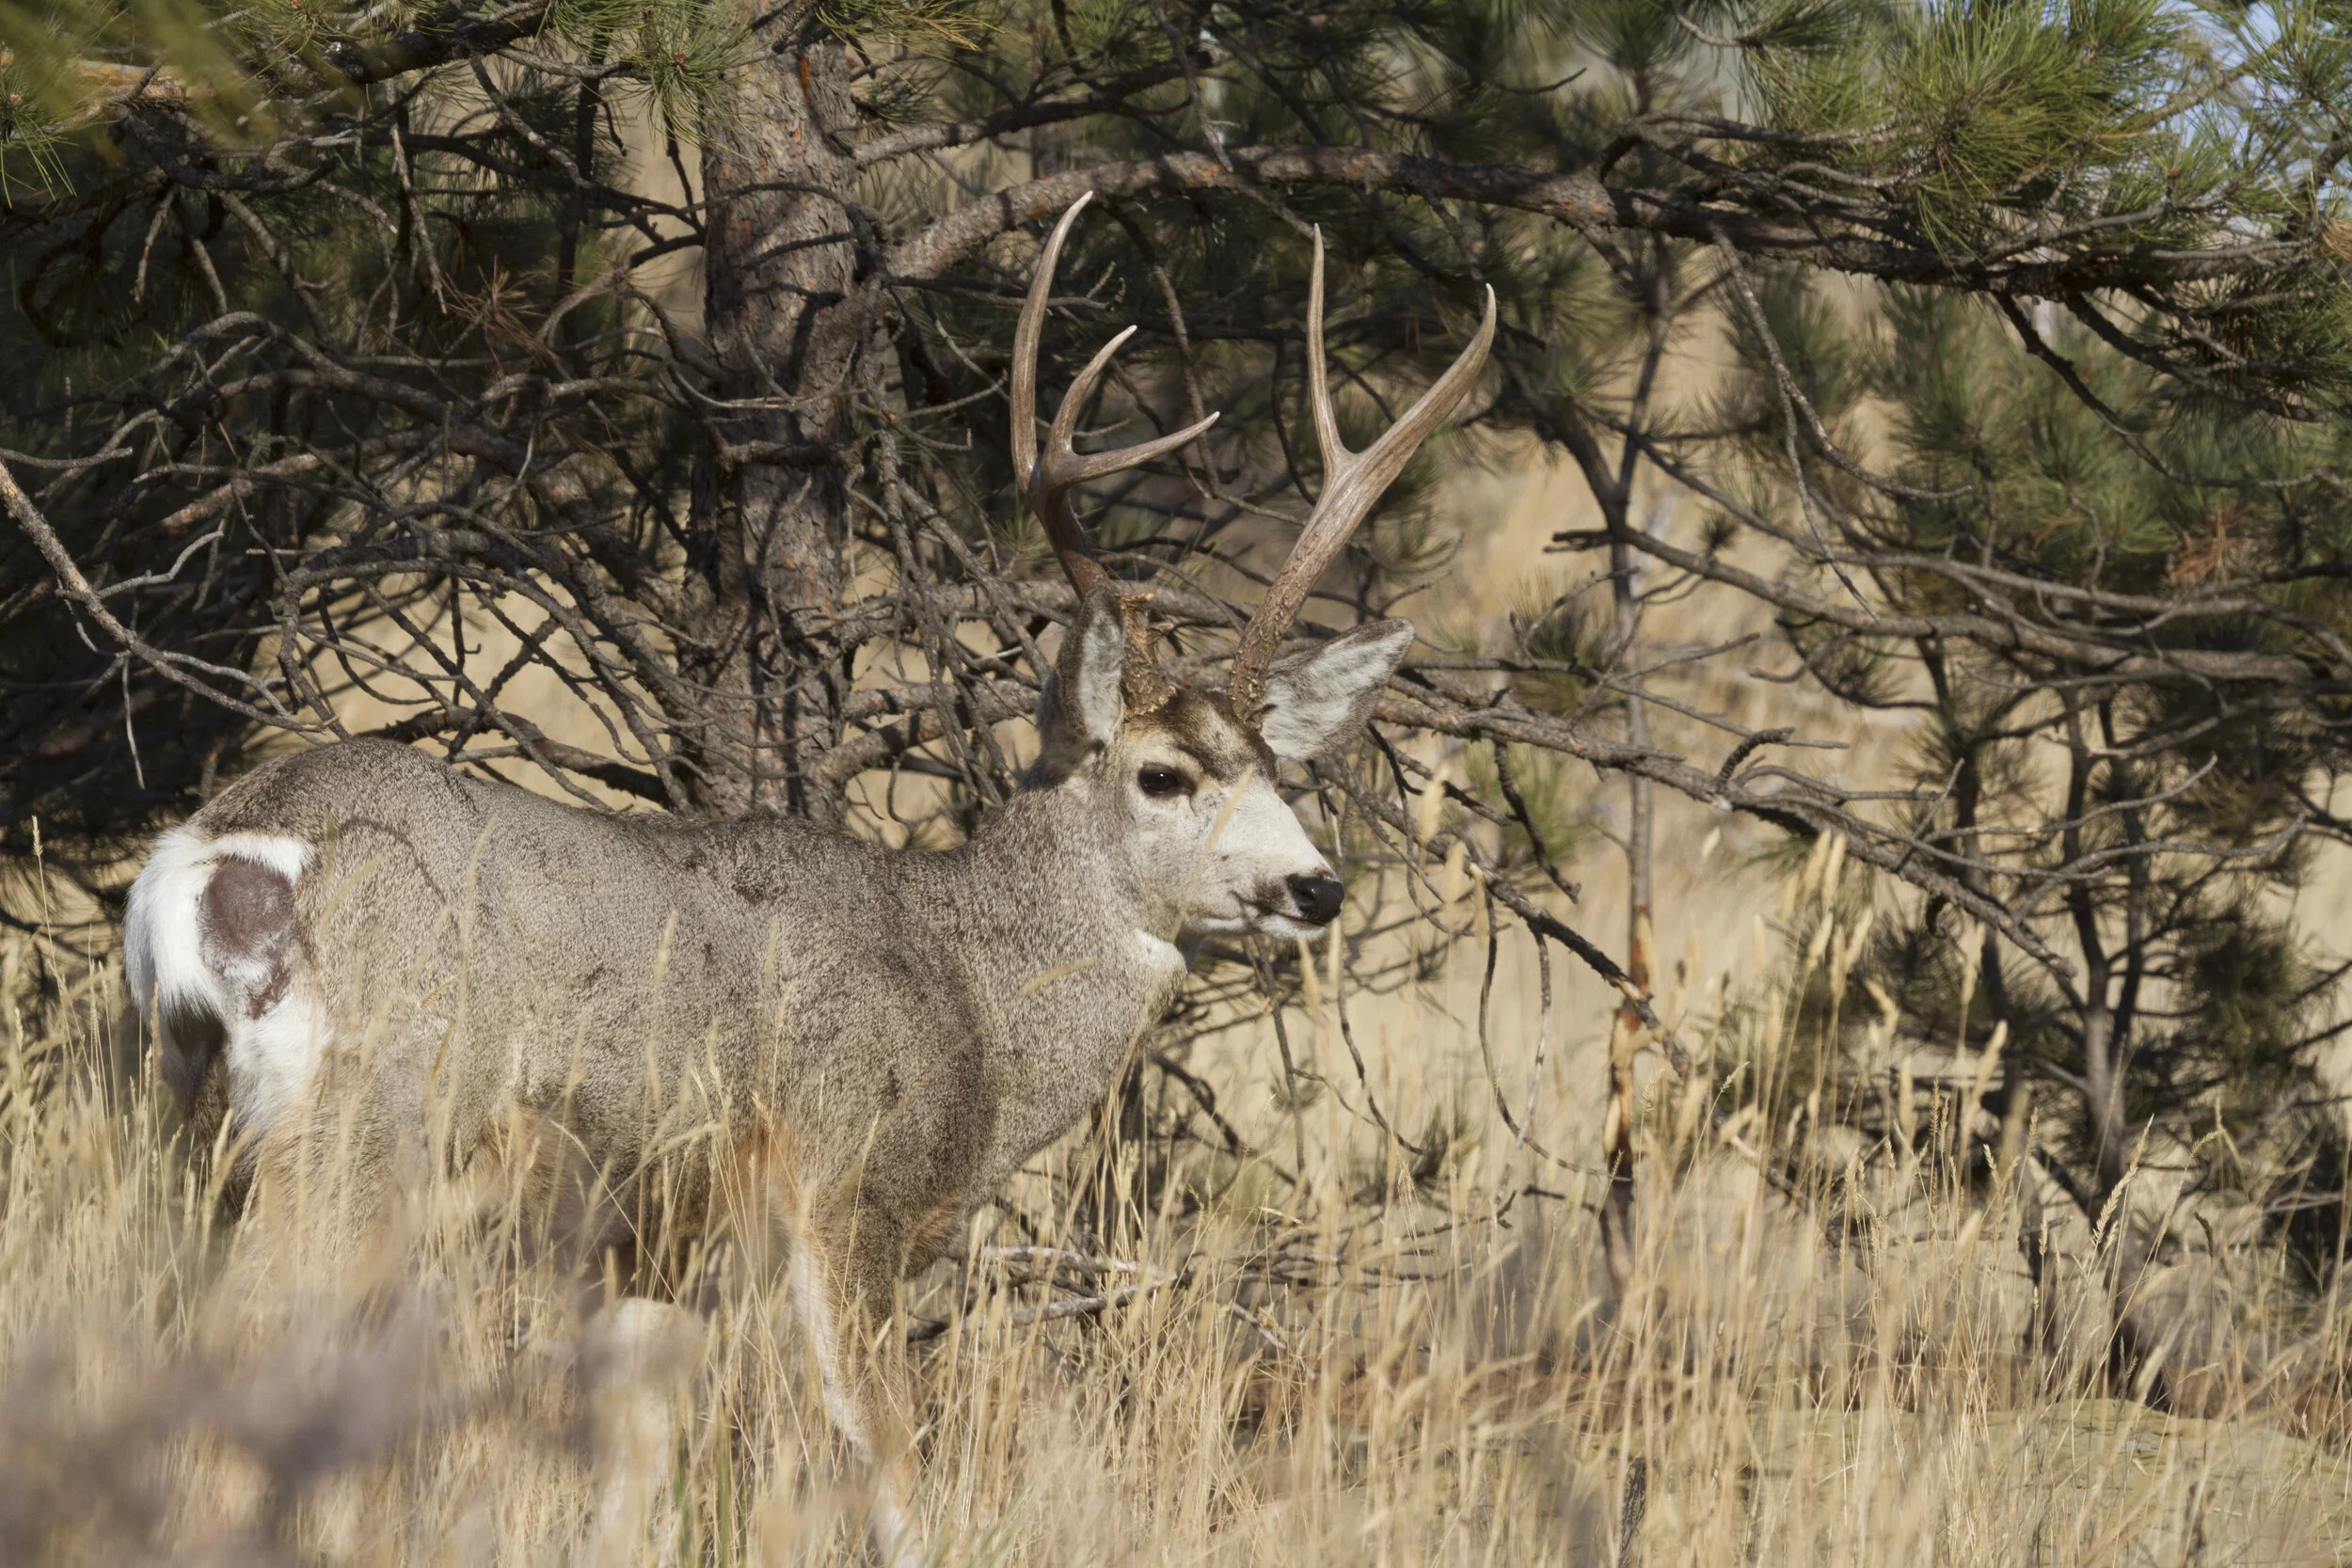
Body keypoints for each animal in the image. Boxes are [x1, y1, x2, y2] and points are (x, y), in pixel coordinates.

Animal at [122, 193, 1494, 1562]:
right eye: (1162, 775)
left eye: (1276, 765)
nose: (1317, 886)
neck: (973, 998)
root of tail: (238, 843)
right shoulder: (851, 1190)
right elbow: (895, 1476)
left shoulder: (657, 1253)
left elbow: (630, 1489)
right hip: (368, 1116)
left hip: (186, 1104)